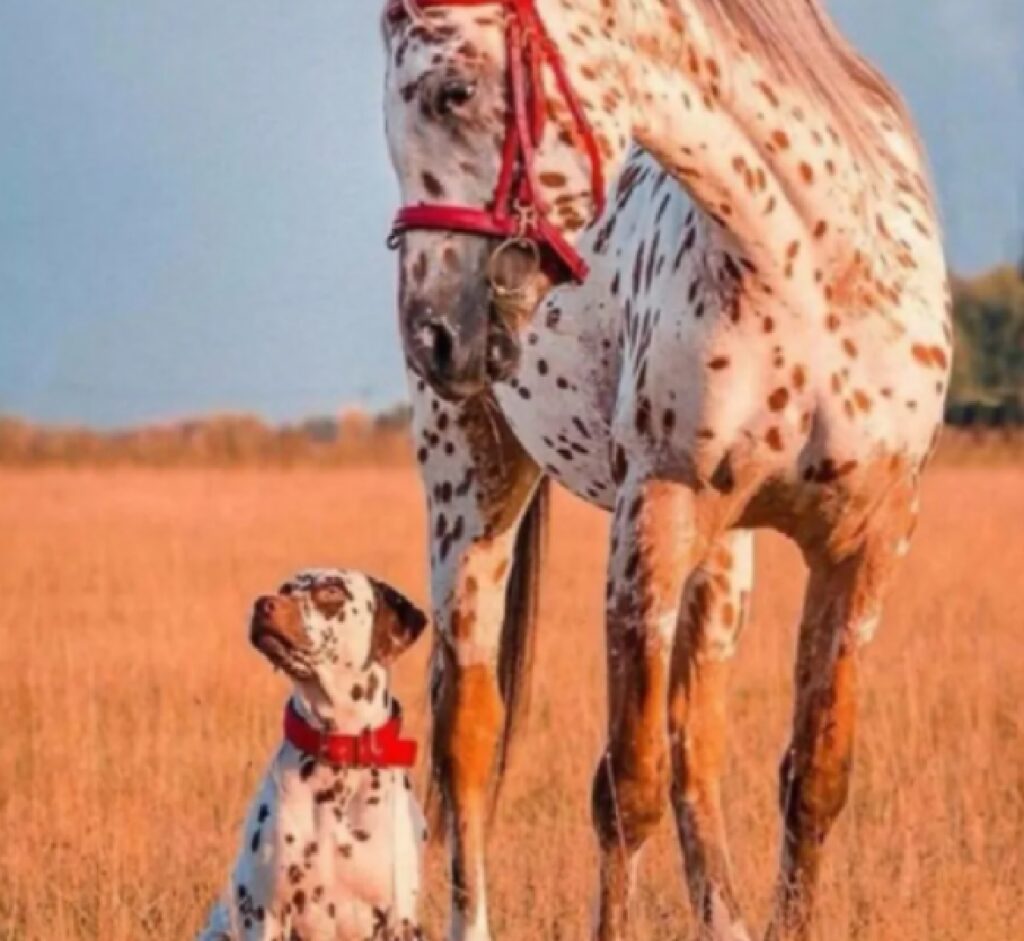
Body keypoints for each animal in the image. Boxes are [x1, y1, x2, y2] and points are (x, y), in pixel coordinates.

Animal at [380, 1, 946, 941]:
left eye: (452, 91)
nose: (433, 332)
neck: (812, 269)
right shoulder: (651, 523)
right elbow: (626, 787)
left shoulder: (863, 547)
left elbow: (811, 781)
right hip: (470, 488)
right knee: (469, 734)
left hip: (725, 559)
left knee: (698, 750)